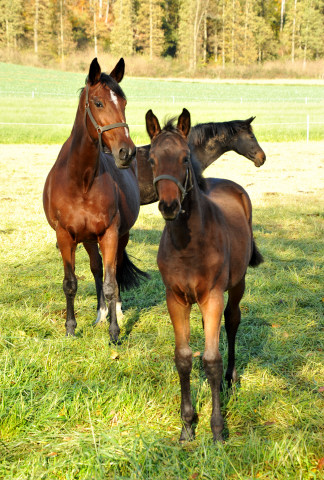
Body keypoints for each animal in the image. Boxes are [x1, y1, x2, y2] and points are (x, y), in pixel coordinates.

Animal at [43, 57, 147, 342]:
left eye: (124, 103)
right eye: (98, 103)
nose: (127, 152)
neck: (81, 180)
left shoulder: (110, 233)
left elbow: (111, 283)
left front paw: (115, 331)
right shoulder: (65, 236)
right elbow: (70, 283)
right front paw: (70, 328)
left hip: (120, 235)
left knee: (115, 268)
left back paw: (114, 311)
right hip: (88, 239)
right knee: (97, 267)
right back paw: (100, 312)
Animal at [146, 108, 262, 442]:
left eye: (185, 158)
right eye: (151, 160)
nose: (169, 206)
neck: (189, 244)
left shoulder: (212, 296)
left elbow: (212, 359)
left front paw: (218, 429)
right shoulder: (176, 299)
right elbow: (183, 357)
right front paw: (187, 425)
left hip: (236, 285)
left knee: (232, 322)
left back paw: (231, 378)